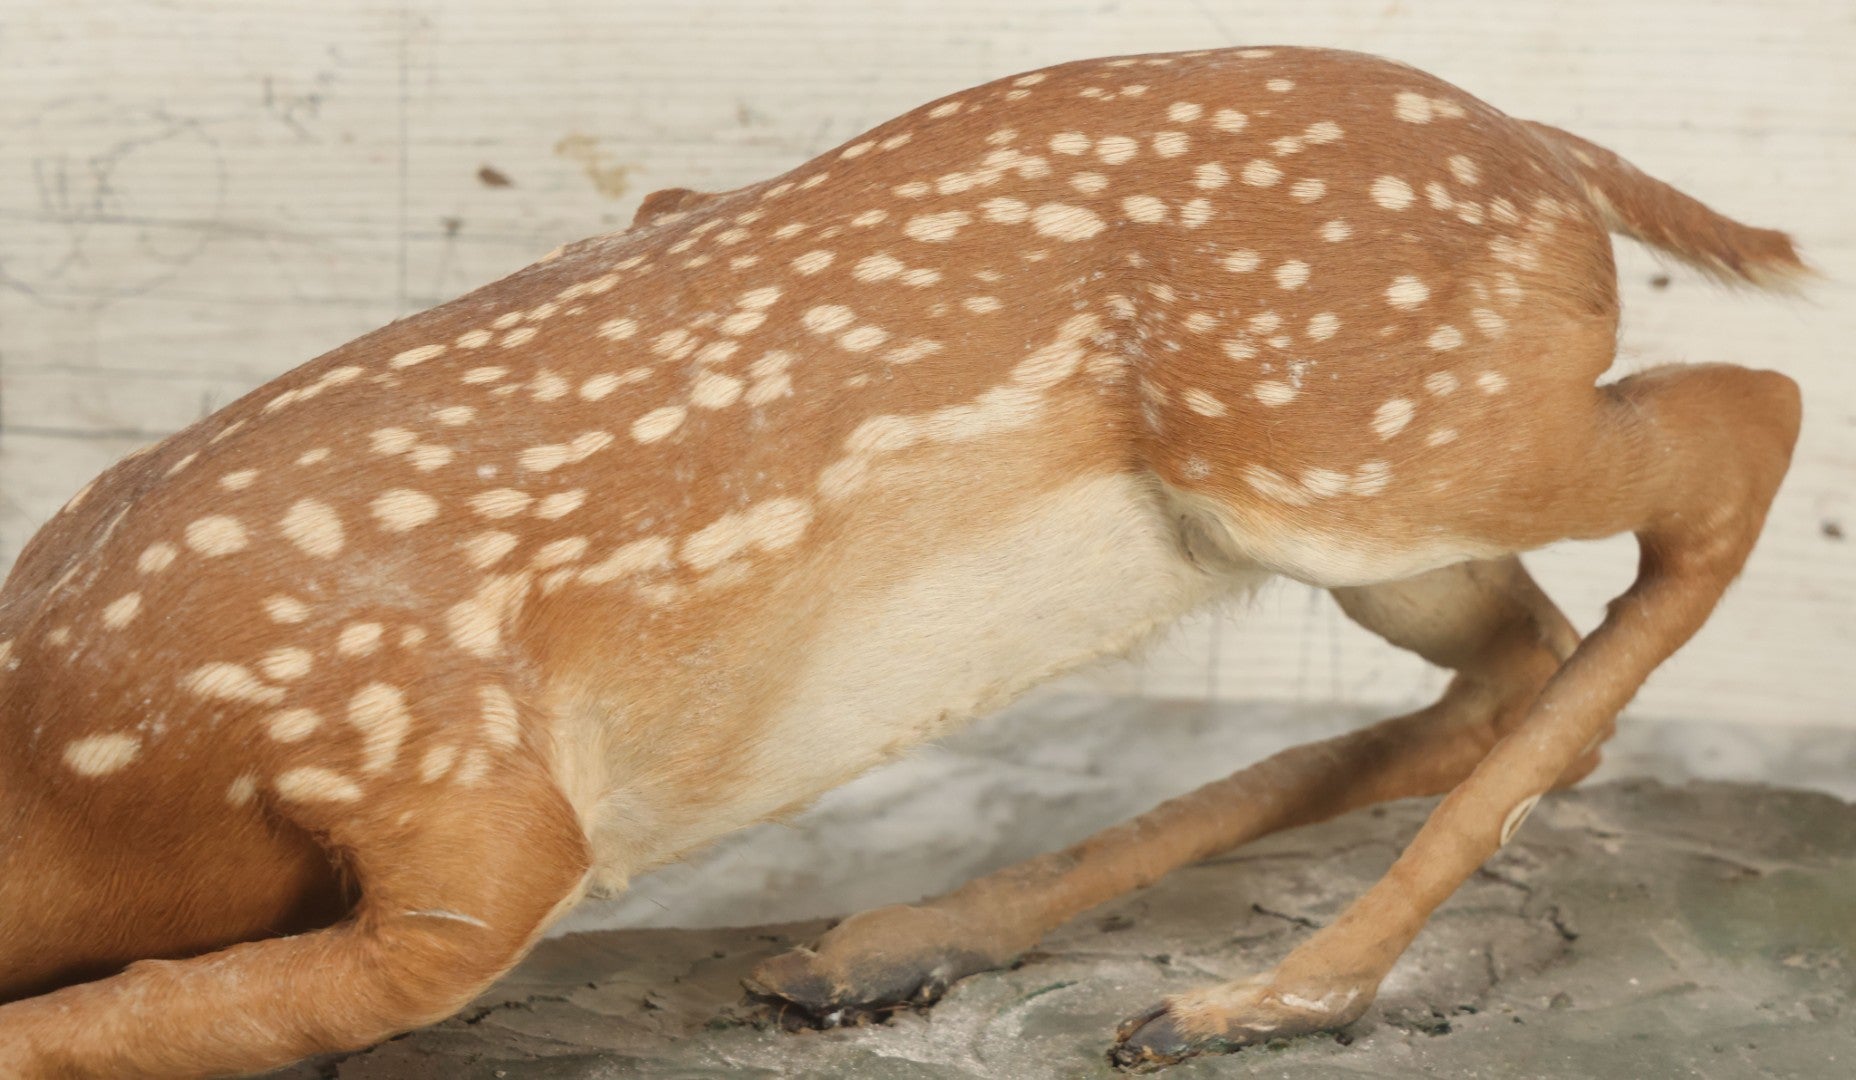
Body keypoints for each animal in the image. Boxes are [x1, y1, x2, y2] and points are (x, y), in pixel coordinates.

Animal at [0, 44, 1807, 1077]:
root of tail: (1556, 154)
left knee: (1746, 424)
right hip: (1343, 508)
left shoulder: (455, 790)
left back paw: (1260, 1001)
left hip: (1374, 434)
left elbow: (200, 1003)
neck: (87, 756)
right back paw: (896, 946)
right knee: (1513, 656)